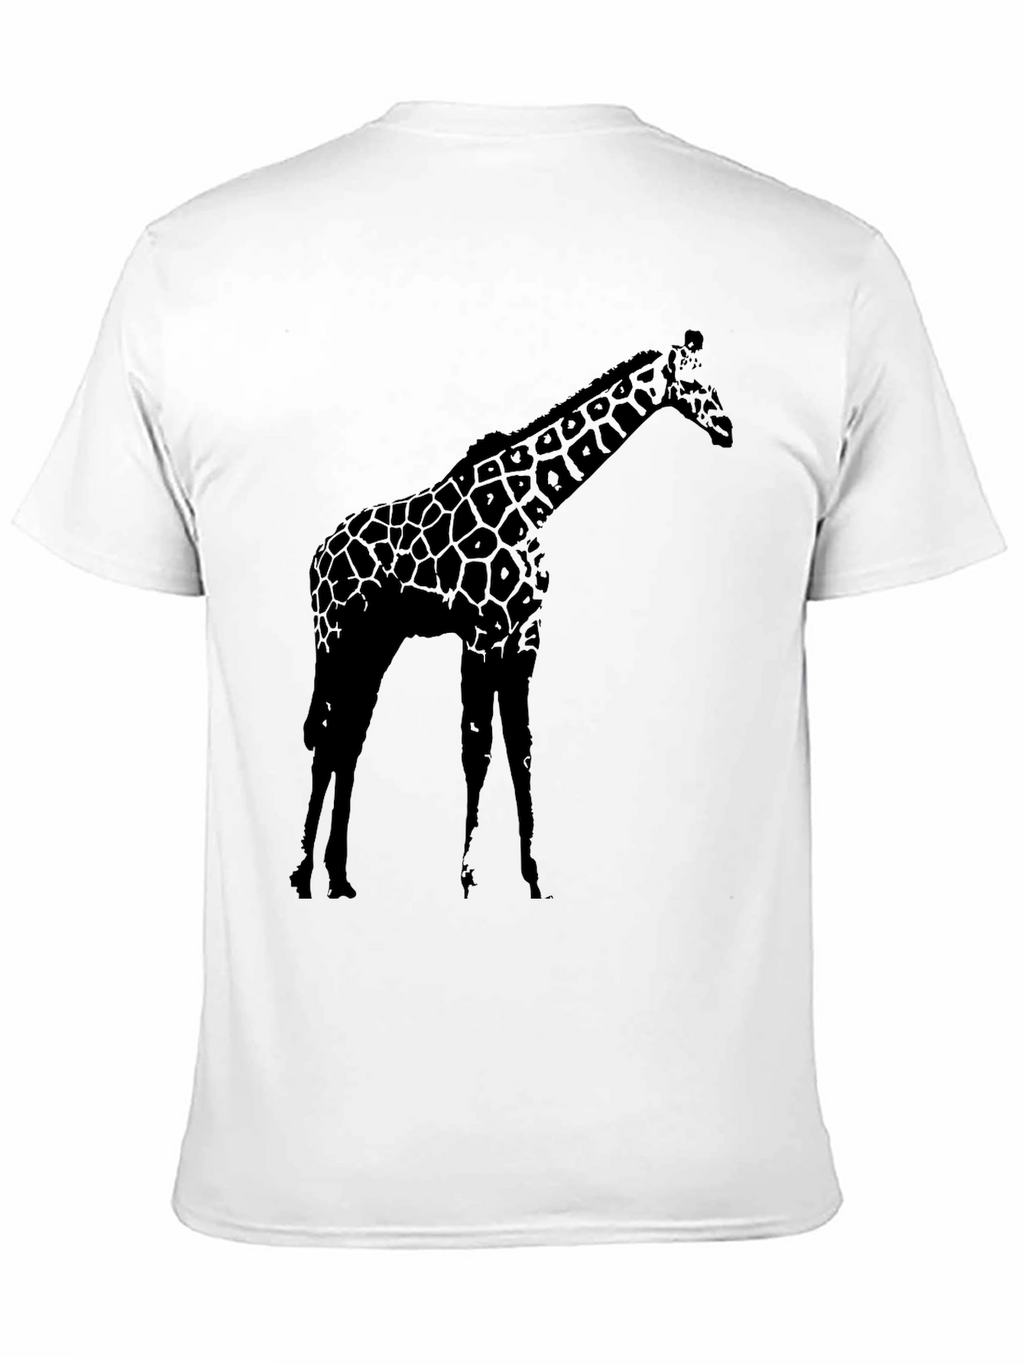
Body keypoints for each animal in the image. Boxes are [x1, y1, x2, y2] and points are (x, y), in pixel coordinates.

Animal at [290, 333, 734, 901]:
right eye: (694, 383)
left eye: (713, 380)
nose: (727, 428)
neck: (532, 503)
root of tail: (317, 555)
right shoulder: (481, 632)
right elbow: (476, 749)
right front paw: (469, 878)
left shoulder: (524, 634)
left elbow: (520, 748)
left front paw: (534, 877)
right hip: (337, 637)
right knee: (326, 738)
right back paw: (303, 875)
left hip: (376, 644)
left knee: (349, 738)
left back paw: (339, 878)